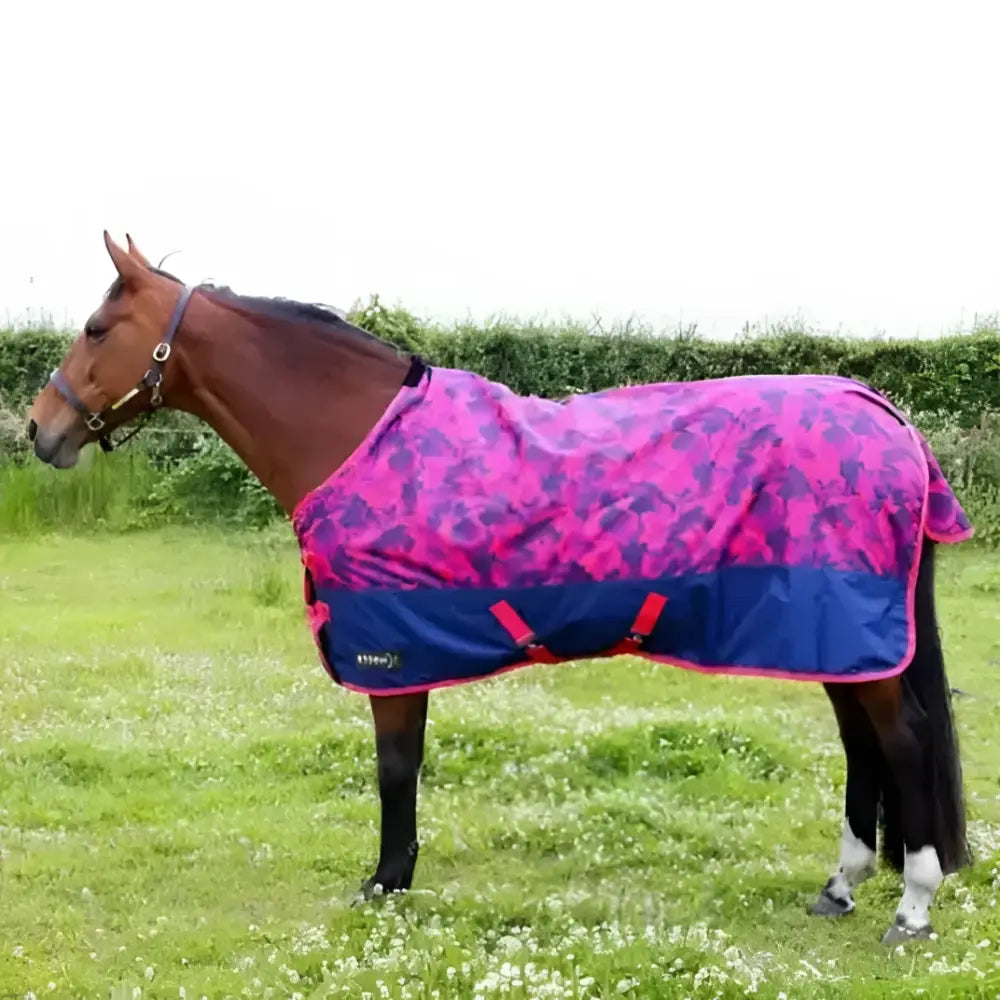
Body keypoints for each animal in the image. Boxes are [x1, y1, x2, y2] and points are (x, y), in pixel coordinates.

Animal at [26, 232, 974, 945]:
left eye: (97, 327)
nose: (40, 429)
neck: (356, 435)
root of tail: (884, 416)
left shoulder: (392, 653)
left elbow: (394, 769)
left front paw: (386, 883)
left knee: (902, 740)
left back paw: (912, 905)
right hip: (830, 634)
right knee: (862, 743)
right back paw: (841, 885)